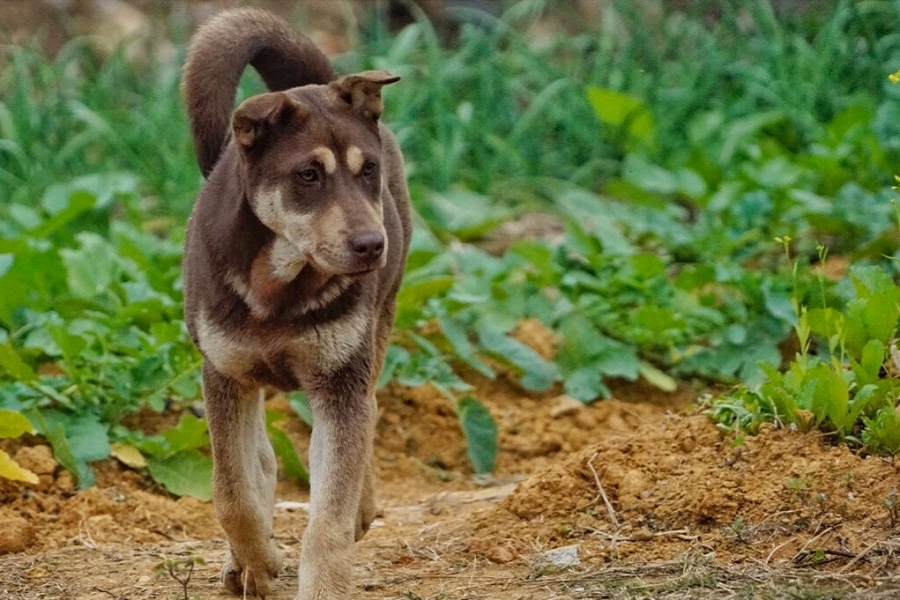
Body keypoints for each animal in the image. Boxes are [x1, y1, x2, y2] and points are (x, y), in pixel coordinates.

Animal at [180, 8, 412, 596]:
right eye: (308, 175)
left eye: (367, 169)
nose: (371, 245)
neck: (280, 284)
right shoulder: (224, 374)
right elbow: (232, 491)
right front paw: (257, 563)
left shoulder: (340, 382)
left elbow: (327, 517)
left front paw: (321, 579)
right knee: (259, 460)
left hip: (379, 323)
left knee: (371, 413)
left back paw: (362, 509)